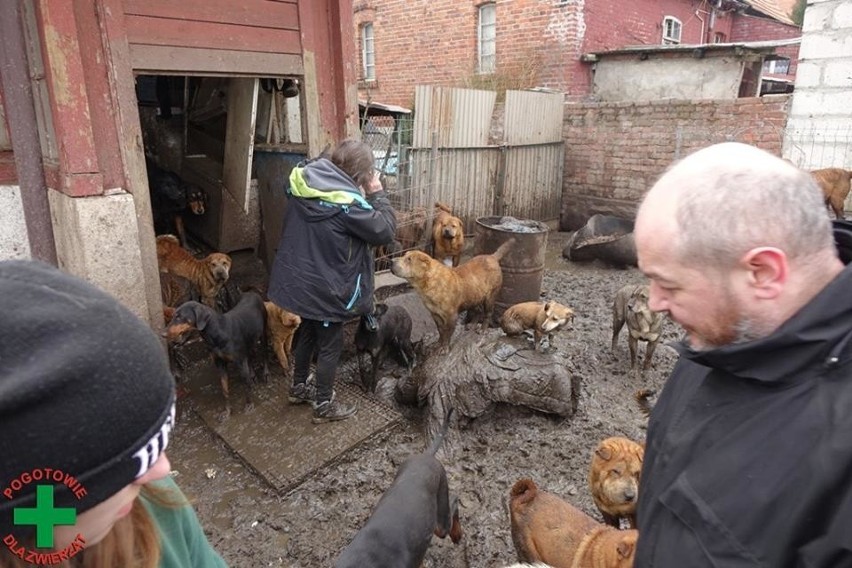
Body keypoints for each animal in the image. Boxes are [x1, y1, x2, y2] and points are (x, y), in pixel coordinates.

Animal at [161, 290, 264, 420]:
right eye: (174, 315)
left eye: (179, 317)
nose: (162, 334)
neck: (218, 332)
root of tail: (251, 292)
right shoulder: (220, 363)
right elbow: (225, 390)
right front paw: (227, 412)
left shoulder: (240, 361)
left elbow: (246, 384)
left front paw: (249, 405)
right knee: (249, 357)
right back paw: (253, 374)